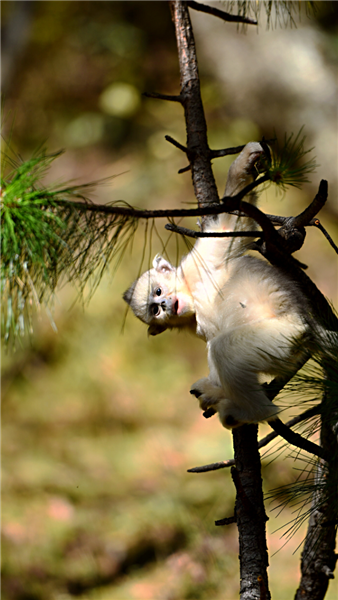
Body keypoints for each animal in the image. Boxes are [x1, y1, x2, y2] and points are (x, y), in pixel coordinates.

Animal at [123, 143, 314, 428]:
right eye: (155, 310)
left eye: (158, 292)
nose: (165, 304)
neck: (192, 295)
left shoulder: (201, 261)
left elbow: (231, 225)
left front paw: (244, 161)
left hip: (283, 336)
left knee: (223, 349)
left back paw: (253, 412)